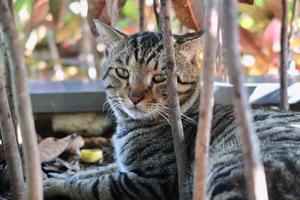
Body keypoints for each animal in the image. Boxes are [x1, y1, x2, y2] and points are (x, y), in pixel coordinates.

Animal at [42, 19, 300, 200]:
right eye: (123, 72)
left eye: (159, 77)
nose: (134, 97)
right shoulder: (124, 167)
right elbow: (91, 172)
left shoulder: (154, 182)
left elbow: (93, 185)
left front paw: (52, 184)